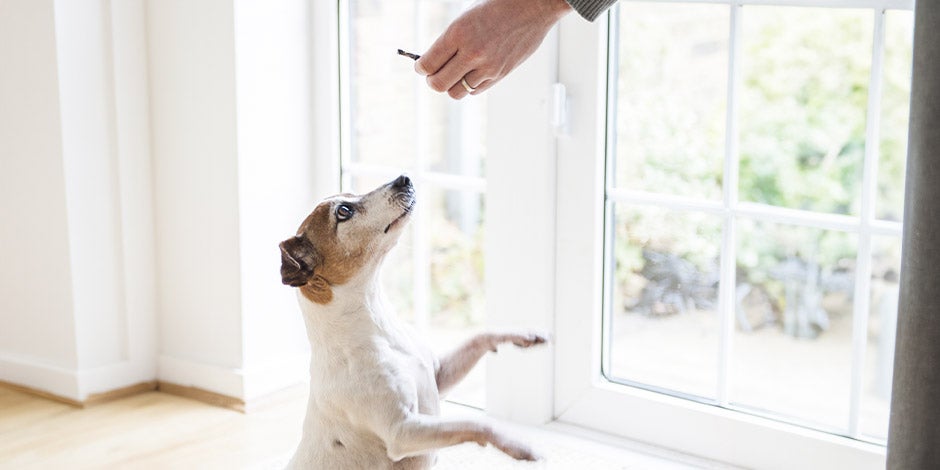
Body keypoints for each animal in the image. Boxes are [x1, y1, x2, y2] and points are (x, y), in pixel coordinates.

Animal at [276, 174, 548, 468]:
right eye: (344, 211)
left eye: (350, 195)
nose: (402, 178)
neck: (379, 325)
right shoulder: (404, 432)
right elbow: (474, 422)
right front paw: (516, 443)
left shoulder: (440, 376)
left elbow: (480, 337)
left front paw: (524, 335)